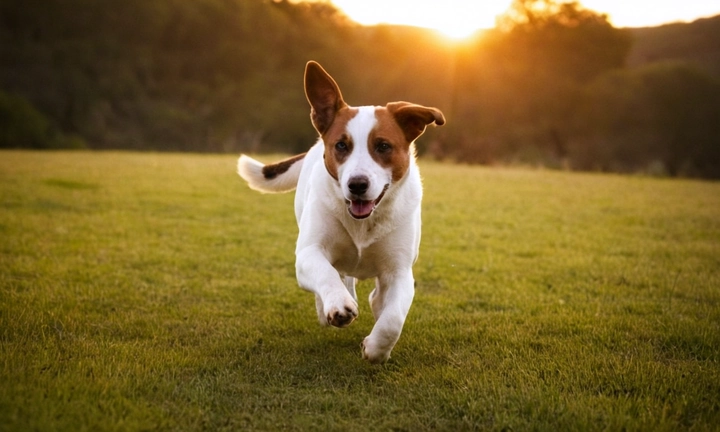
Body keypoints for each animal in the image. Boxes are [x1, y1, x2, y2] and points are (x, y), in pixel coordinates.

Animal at [238, 60, 444, 362]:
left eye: (383, 146)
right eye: (341, 145)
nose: (357, 184)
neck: (363, 223)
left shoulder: (399, 270)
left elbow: (393, 319)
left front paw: (376, 349)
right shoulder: (308, 253)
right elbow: (325, 273)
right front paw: (337, 304)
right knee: (338, 275)